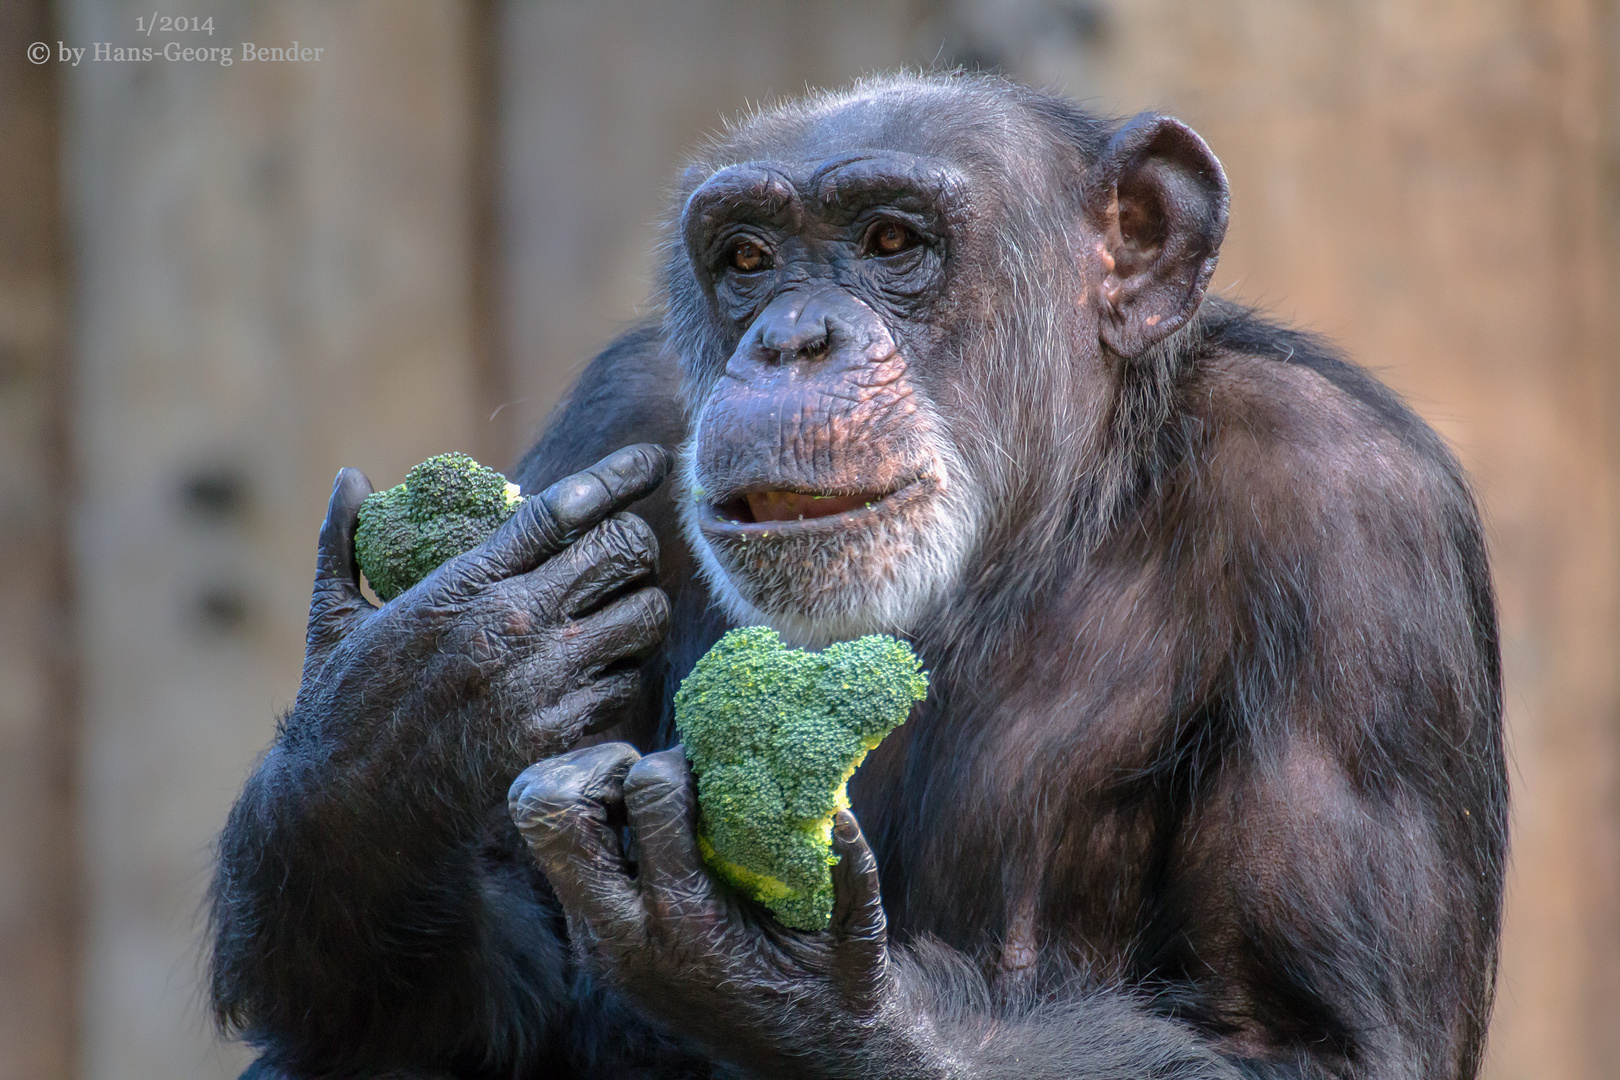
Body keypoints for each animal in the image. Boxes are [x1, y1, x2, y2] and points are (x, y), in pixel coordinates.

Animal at [212, 76, 1503, 1080]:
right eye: (746, 257)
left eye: (890, 243)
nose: (792, 338)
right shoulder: (609, 420)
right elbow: (479, 998)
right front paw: (413, 699)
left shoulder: (1358, 521)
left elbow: (1304, 1041)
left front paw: (788, 980)